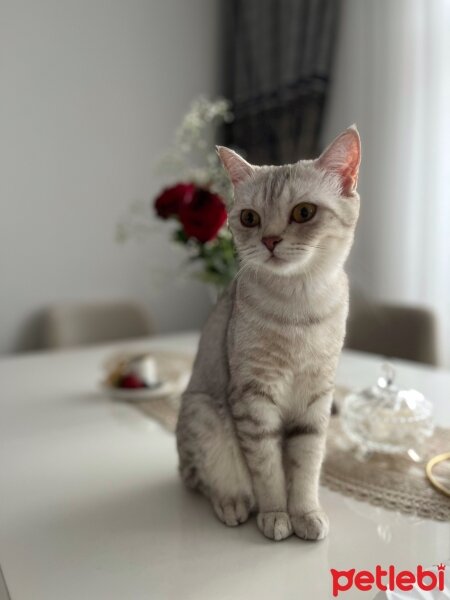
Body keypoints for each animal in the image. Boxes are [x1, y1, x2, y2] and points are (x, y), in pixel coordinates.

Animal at [176, 125, 362, 540]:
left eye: (304, 212)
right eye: (249, 218)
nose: (270, 240)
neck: (299, 305)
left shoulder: (316, 398)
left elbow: (306, 468)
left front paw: (306, 514)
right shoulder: (254, 397)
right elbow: (268, 470)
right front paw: (277, 514)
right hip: (203, 413)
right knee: (204, 480)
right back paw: (233, 503)